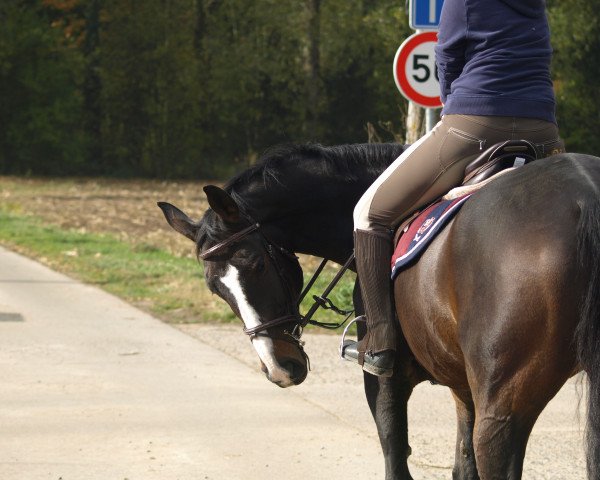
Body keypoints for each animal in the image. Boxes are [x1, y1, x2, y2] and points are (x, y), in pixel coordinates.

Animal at [159, 143, 600, 480]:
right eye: (215, 288)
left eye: (256, 264)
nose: (280, 368)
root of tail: (584, 195)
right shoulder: (464, 387)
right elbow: (462, 466)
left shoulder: (386, 379)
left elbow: (395, 457)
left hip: (504, 408)